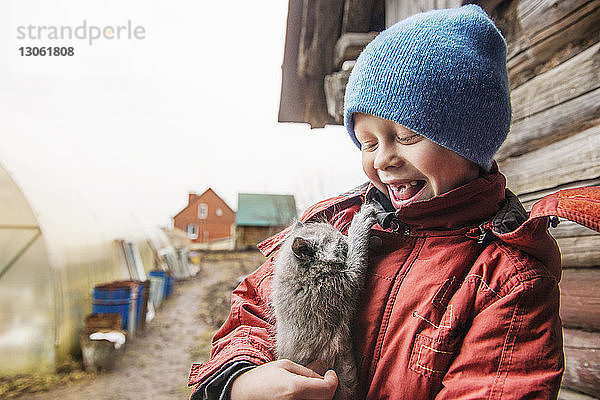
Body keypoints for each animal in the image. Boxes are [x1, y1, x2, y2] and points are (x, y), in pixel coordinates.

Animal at [270, 203, 376, 400]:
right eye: (341, 242)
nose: (345, 236)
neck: (305, 276)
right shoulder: (345, 282)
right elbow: (357, 251)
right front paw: (361, 223)